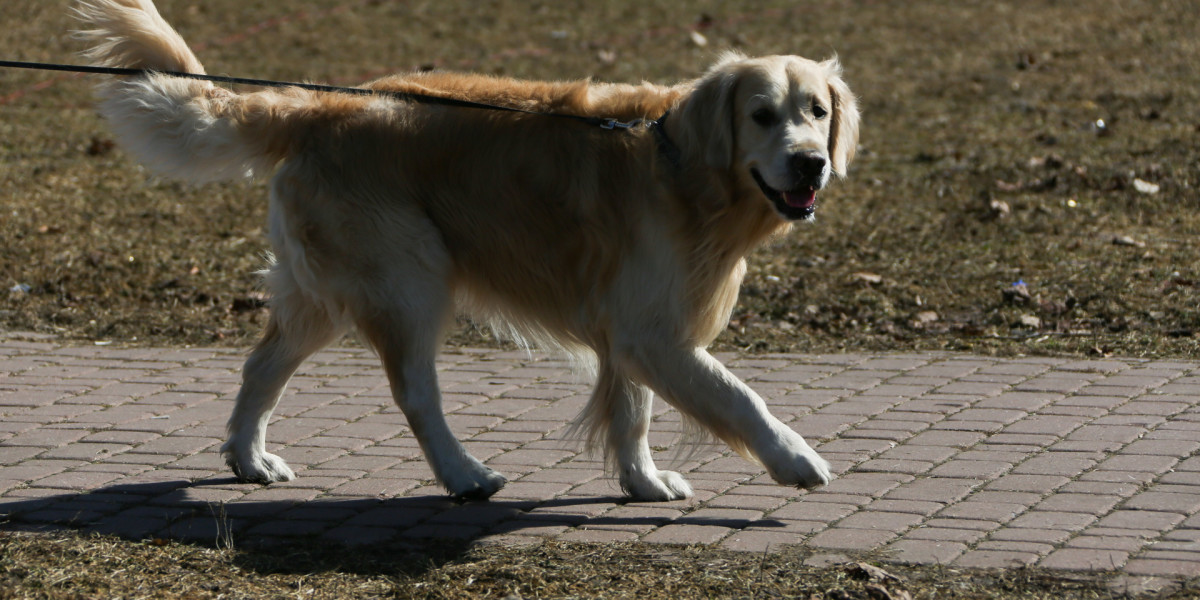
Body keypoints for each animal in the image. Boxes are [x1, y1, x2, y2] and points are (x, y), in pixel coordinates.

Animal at [75, 0, 859, 499]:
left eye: (817, 111)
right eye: (761, 115)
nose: (811, 163)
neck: (683, 170)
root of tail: (320, 105)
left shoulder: (636, 323)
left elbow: (633, 411)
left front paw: (642, 481)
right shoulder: (652, 332)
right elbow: (739, 395)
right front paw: (795, 458)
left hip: (320, 295)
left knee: (261, 366)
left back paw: (247, 457)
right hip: (410, 280)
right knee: (415, 393)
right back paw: (463, 475)